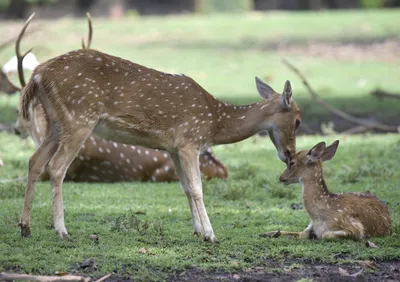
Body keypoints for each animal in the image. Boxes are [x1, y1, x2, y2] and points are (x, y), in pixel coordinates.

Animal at [18, 13, 300, 242]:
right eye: (298, 120)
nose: (289, 155)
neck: (214, 122)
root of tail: (37, 74)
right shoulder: (189, 140)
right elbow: (197, 188)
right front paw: (211, 234)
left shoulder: (173, 148)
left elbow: (185, 187)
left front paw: (197, 231)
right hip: (80, 117)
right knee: (56, 166)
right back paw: (62, 230)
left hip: (56, 123)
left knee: (34, 161)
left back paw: (25, 227)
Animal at [264, 140, 392, 239]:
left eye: (292, 162)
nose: (281, 177)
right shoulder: (311, 224)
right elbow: (302, 234)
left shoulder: (354, 228)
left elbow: (326, 235)